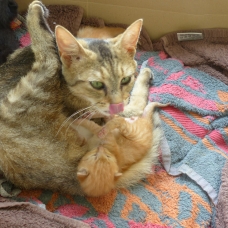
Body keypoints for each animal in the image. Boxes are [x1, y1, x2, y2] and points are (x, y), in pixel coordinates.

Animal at [0, 0, 162, 195]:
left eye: (125, 80)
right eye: (97, 84)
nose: (116, 106)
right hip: (28, 92)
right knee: (47, 55)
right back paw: (36, 10)